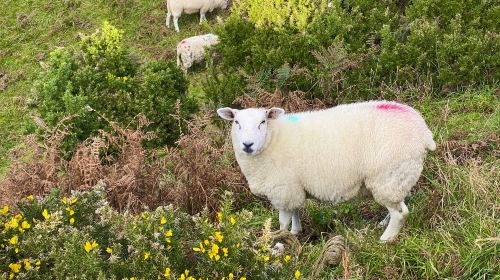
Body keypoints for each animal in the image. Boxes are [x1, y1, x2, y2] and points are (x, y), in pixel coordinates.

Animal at [217, 100, 436, 241]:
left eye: (262, 122)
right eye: (236, 122)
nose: (247, 145)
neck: (273, 139)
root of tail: (424, 131)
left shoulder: (282, 188)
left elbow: (282, 221)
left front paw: (281, 239)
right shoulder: (293, 187)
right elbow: (296, 210)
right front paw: (296, 232)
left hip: (387, 174)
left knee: (401, 213)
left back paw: (385, 239)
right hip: (399, 175)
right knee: (399, 203)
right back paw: (383, 223)